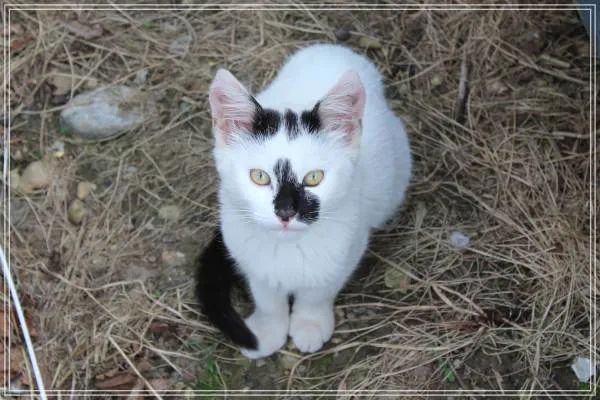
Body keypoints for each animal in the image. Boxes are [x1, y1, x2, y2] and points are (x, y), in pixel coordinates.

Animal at [196, 43, 412, 359]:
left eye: (313, 177)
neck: (288, 251)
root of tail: (334, 48)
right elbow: (267, 297)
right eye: (259, 176)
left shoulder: (348, 248)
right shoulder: (250, 258)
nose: (285, 212)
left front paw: (309, 323)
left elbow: (318, 292)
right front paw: (267, 331)